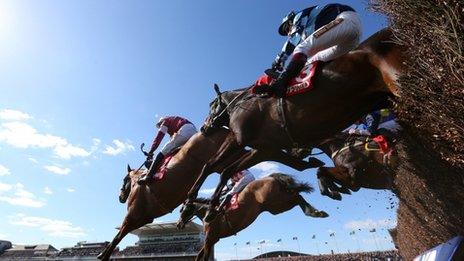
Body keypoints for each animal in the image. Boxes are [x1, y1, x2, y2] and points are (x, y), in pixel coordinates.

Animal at [176, 173, 328, 260]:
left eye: (182, 210)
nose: (178, 224)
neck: (207, 212)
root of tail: (270, 177)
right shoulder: (213, 239)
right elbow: (199, 256)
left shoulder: (210, 238)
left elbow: (204, 256)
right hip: (275, 205)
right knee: (297, 196)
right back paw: (316, 212)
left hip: (275, 202)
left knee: (297, 196)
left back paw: (314, 212)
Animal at [183, 27, 404, 219]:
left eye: (211, 106)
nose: (204, 128)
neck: (244, 102)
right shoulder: (262, 148)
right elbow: (225, 169)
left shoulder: (240, 139)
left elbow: (213, 167)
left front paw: (193, 204)